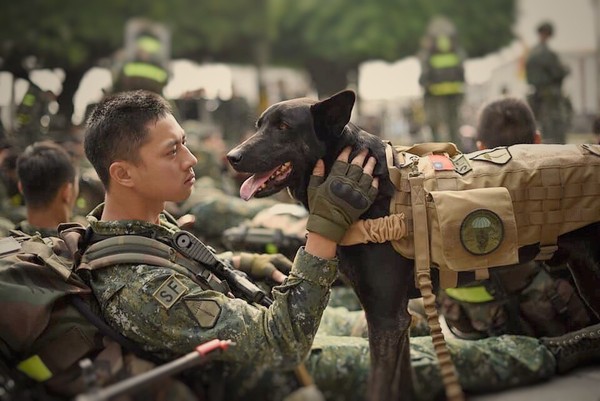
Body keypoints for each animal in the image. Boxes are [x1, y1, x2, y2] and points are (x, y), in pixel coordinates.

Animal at [226, 89, 600, 398]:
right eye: (259, 125)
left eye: (283, 127)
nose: (232, 157)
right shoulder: (397, 319)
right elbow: (402, 385)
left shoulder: (385, 319)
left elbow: (378, 388)